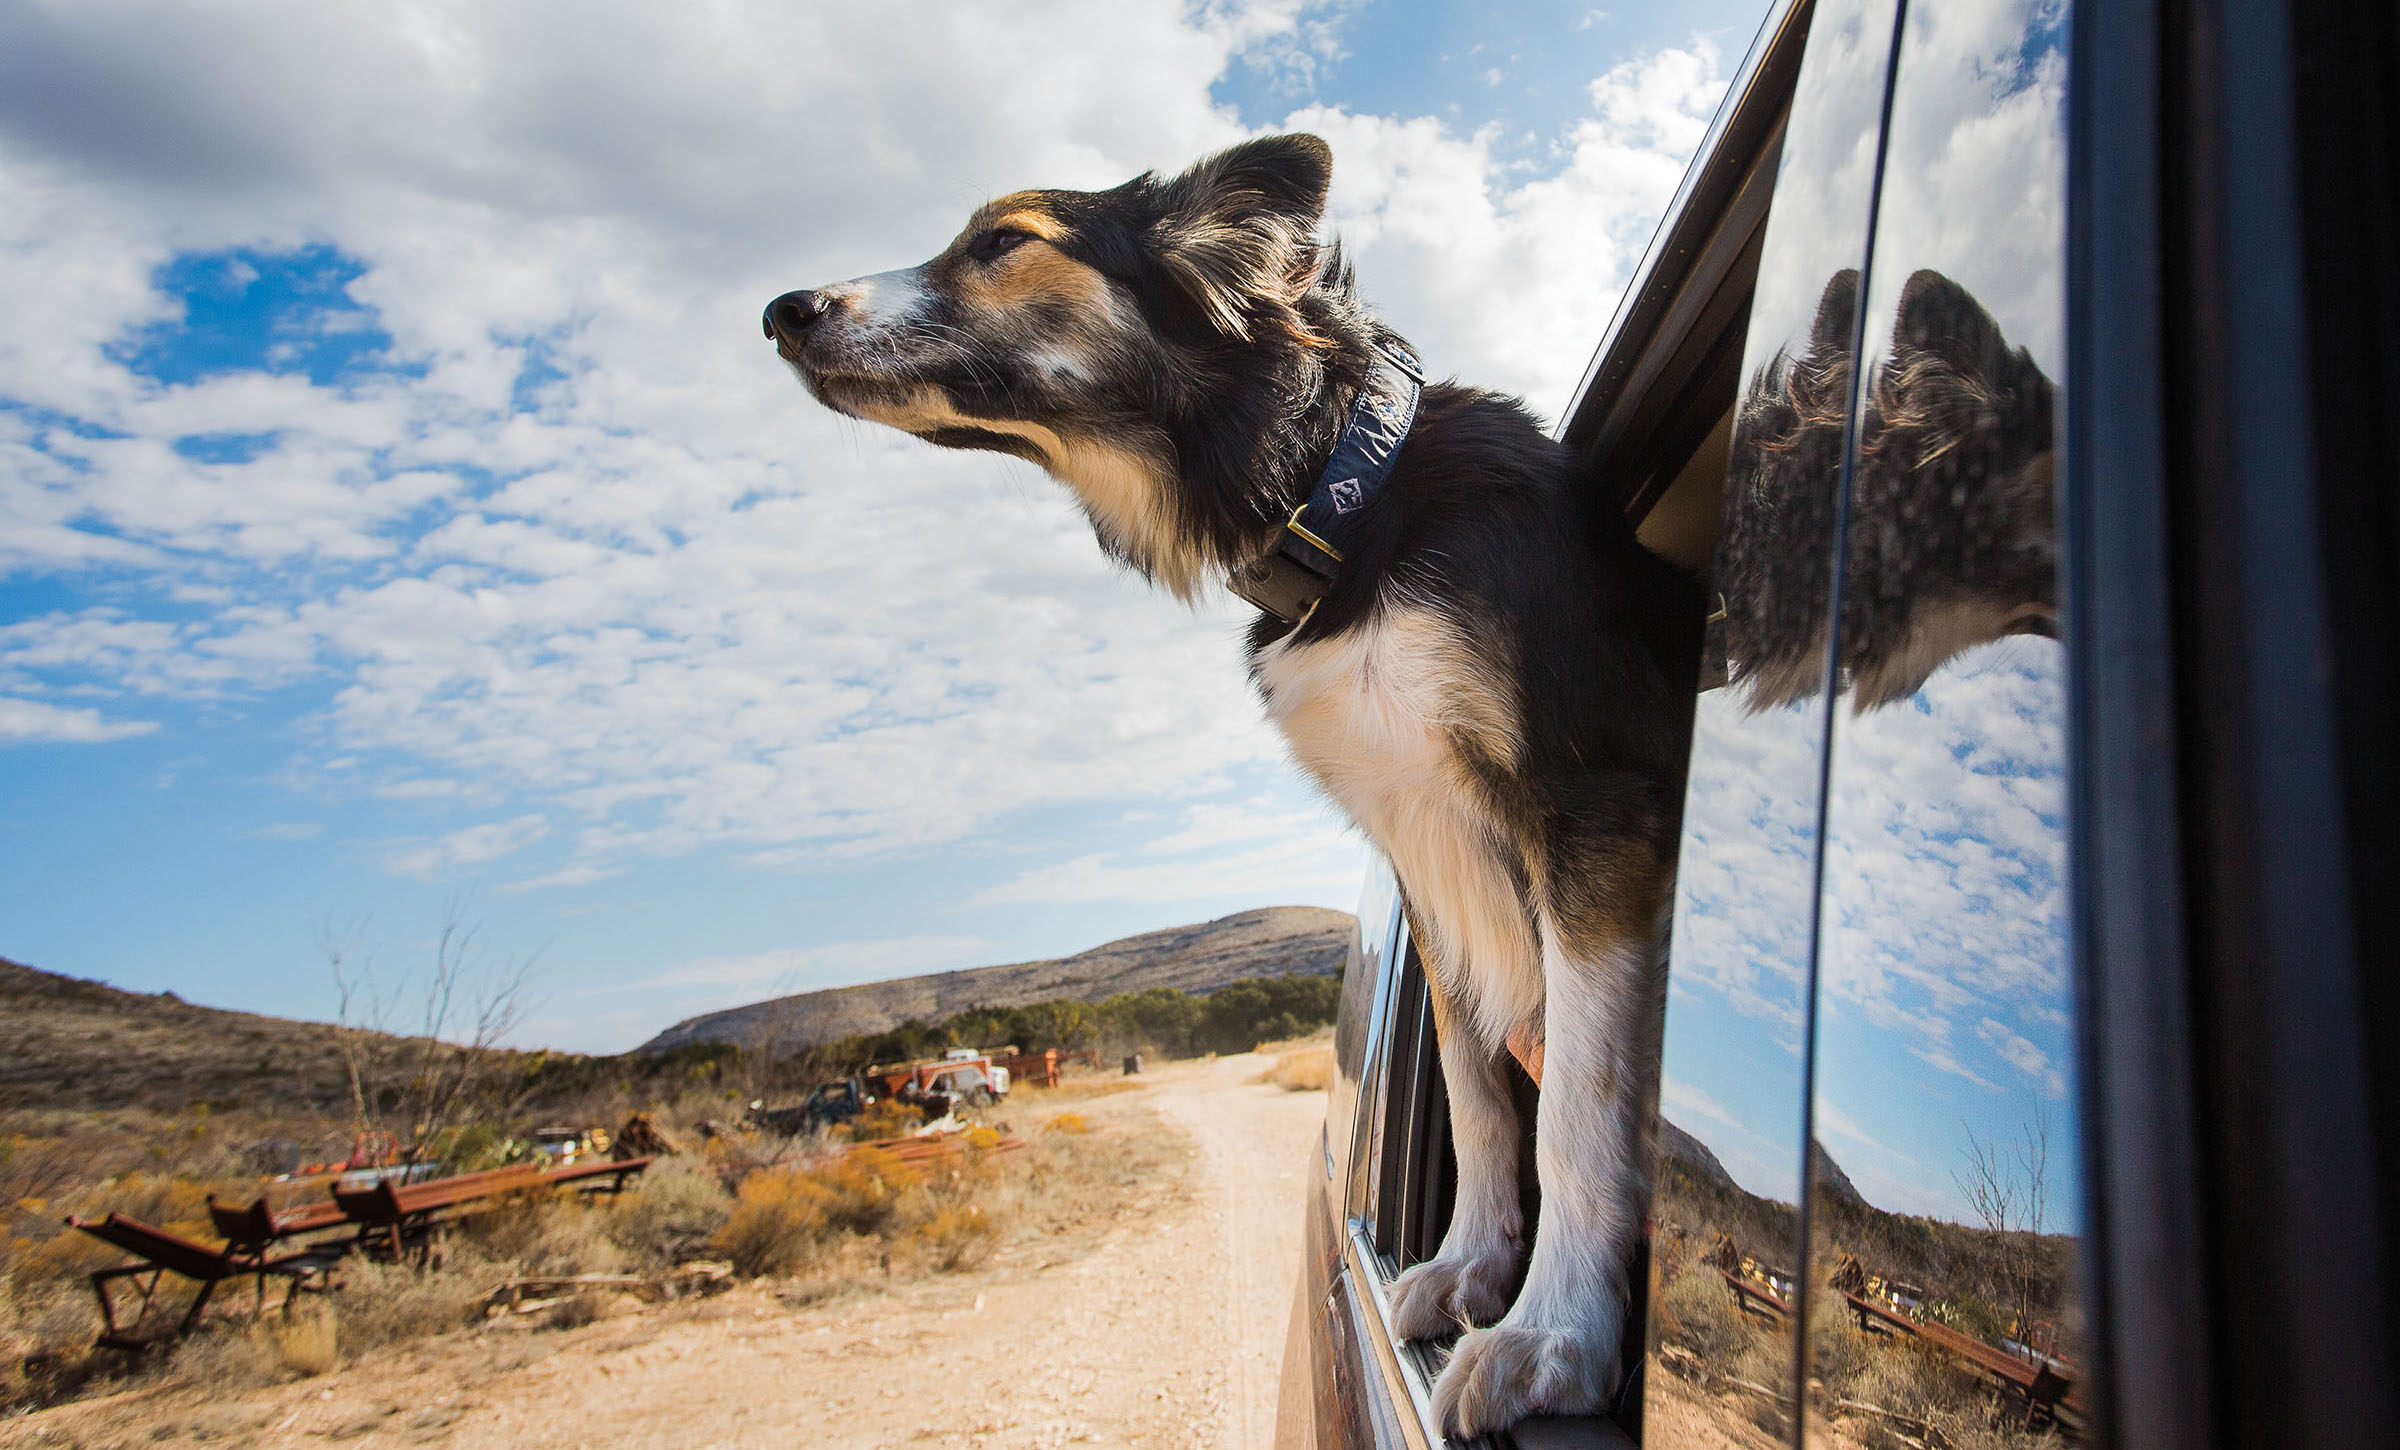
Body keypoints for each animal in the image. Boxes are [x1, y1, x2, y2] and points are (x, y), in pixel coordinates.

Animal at [768, 138, 1708, 1440]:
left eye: (1004, 242)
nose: (782, 311)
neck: (1342, 501)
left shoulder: (1595, 815)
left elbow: (1576, 1103)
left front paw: (1554, 1339)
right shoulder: (1430, 859)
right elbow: (1477, 1092)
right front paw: (1474, 1266)